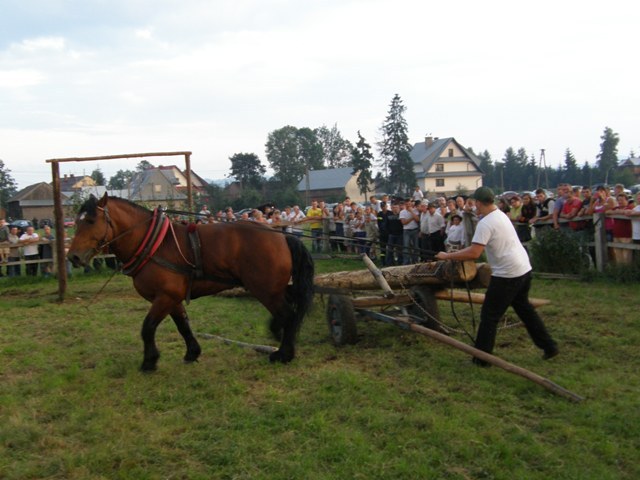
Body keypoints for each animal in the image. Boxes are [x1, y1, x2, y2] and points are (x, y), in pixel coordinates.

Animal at [66, 192, 314, 372]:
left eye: (91, 220)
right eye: (77, 222)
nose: (73, 257)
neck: (153, 244)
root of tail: (283, 236)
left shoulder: (165, 297)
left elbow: (147, 327)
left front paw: (149, 361)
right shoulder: (172, 298)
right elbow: (183, 326)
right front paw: (192, 352)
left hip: (266, 290)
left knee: (288, 315)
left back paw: (283, 354)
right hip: (276, 288)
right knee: (290, 310)